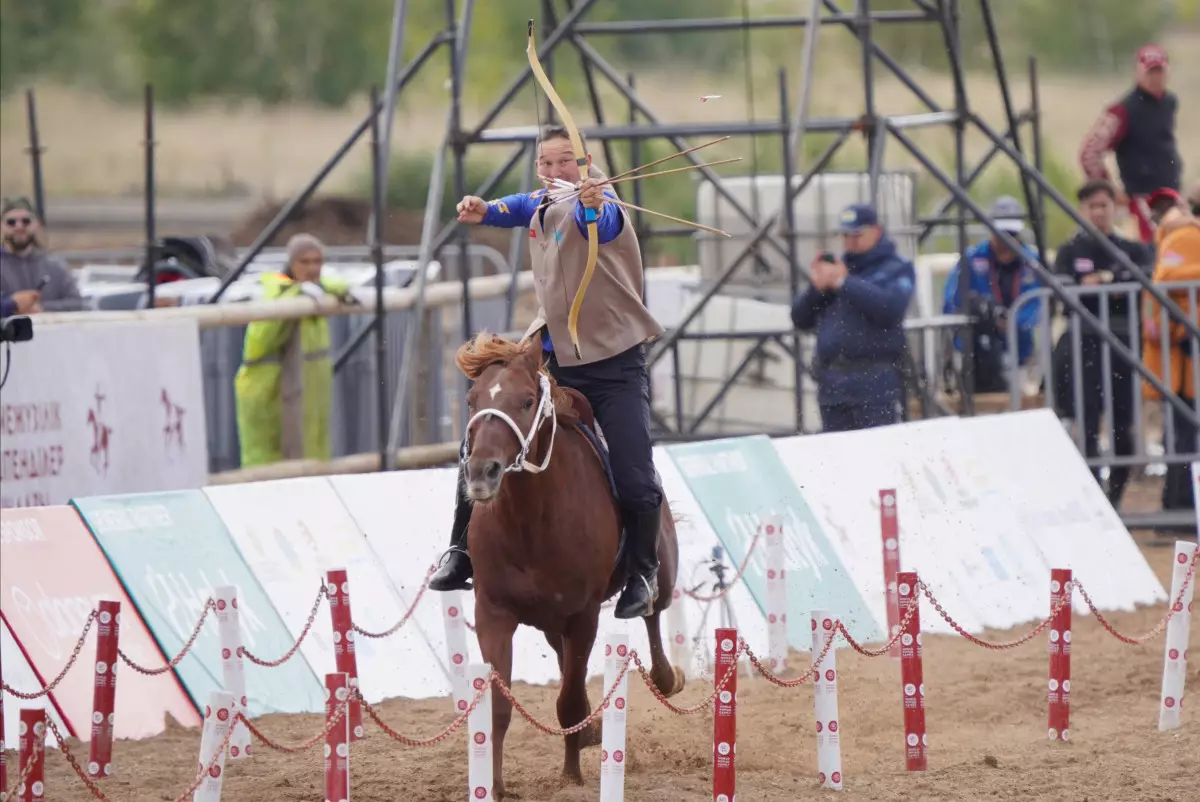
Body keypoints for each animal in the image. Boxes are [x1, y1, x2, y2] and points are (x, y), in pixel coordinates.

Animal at [456, 331, 686, 797]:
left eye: (527, 401)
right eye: (472, 400)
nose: (482, 472)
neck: (531, 521)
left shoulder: (583, 616)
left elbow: (570, 700)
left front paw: (572, 776)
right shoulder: (493, 612)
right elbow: (500, 705)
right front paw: (494, 784)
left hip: (661, 574)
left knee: (654, 613)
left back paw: (665, 677)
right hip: (548, 622)